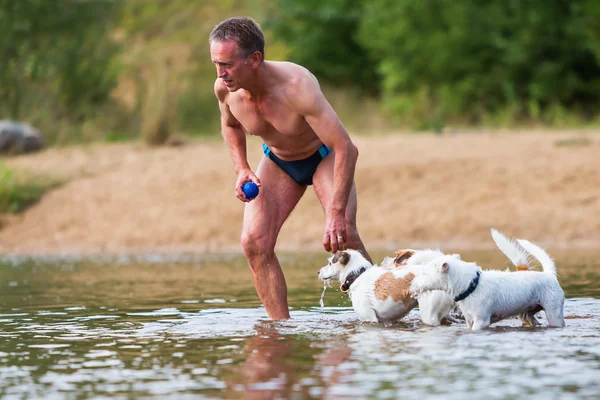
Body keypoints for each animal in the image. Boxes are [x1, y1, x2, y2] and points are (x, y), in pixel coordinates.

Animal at [410, 236, 564, 330]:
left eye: (424, 273)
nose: (410, 284)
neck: (471, 286)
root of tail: (549, 274)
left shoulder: (481, 322)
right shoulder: (469, 321)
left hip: (554, 314)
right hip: (527, 315)